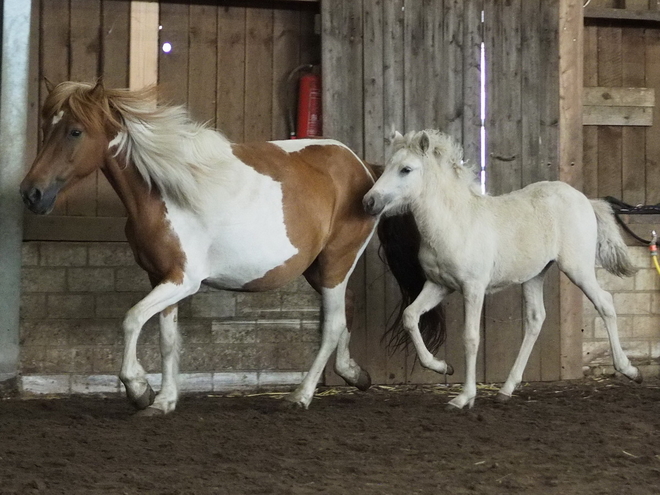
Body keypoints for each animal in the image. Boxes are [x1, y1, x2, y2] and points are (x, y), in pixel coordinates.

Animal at [20, 81, 376, 414]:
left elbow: (132, 319)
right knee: (348, 307)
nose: (31, 193)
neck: (163, 192)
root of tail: (360, 166)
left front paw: (139, 390)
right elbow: (167, 339)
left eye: (75, 131)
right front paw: (164, 400)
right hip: (318, 270)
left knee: (332, 326)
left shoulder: (183, 281)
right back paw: (354, 374)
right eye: (46, 128)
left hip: (336, 263)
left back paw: (300, 396)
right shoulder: (159, 277)